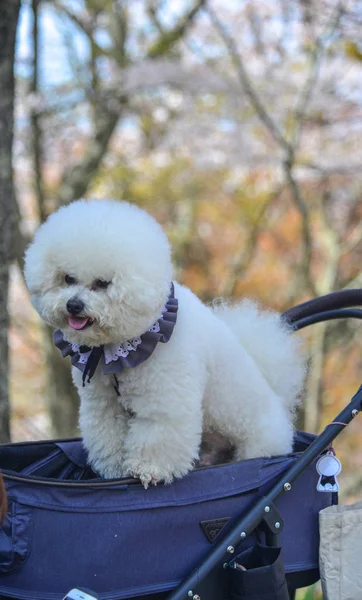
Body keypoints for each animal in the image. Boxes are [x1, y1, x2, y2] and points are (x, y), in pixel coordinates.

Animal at [24, 199, 304, 486]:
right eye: (68, 278)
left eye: (103, 283)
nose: (73, 305)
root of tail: (279, 399)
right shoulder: (103, 403)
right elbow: (109, 434)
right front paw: (114, 471)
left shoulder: (164, 398)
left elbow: (158, 434)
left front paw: (149, 469)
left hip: (255, 442)